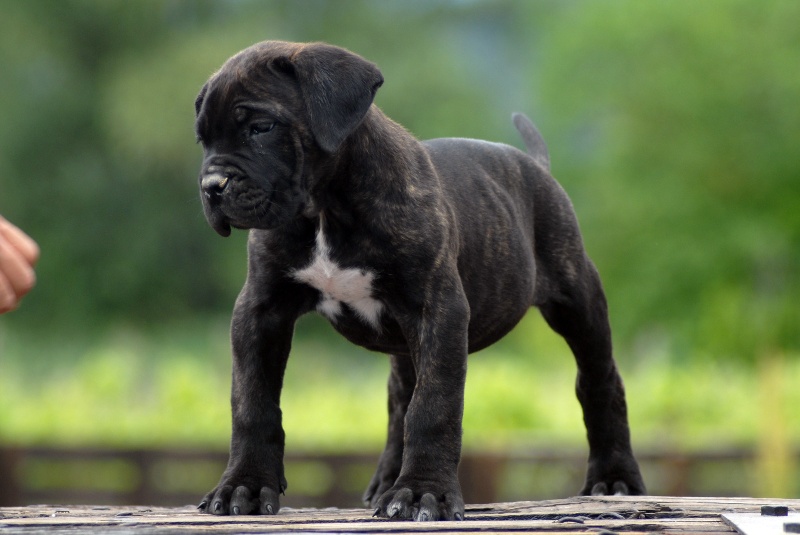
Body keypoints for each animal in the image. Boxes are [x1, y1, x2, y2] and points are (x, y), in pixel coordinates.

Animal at [193, 40, 645, 521]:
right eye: (202, 139)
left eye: (262, 127)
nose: (211, 185)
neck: (326, 209)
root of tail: (535, 166)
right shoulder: (261, 312)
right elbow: (252, 401)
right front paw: (244, 485)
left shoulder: (436, 310)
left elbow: (434, 407)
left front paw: (422, 493)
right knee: (399, 400)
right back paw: (387, 480)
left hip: (577, 297)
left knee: (599, 379)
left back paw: (614, 478)